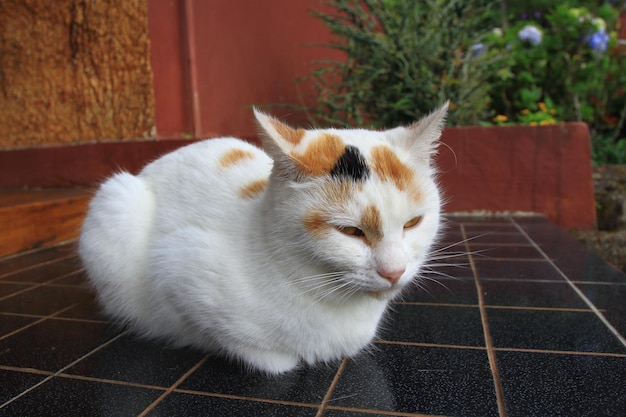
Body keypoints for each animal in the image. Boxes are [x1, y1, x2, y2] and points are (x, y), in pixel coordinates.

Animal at [78, 101, 446, 374]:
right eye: (351, 231)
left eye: (413, 223)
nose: (394, 271)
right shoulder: (176, 268)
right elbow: (256, 352)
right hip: (115, 201)